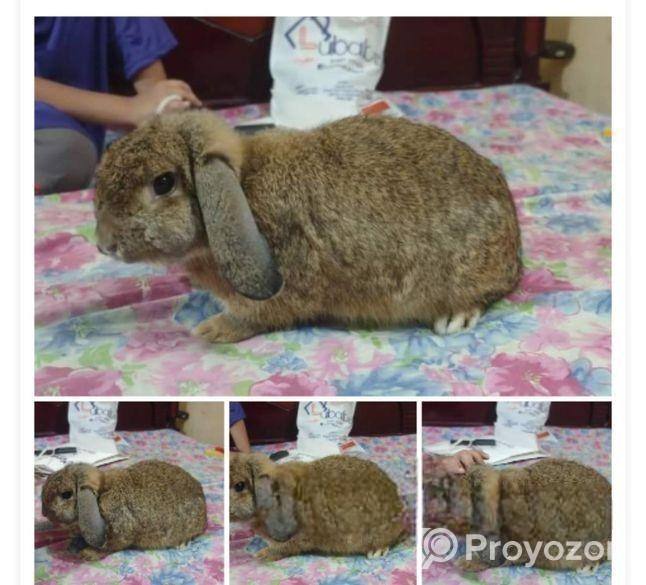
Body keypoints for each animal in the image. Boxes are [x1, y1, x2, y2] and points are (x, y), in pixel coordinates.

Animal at [41, 459, 207, 559]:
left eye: (66, 494)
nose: (44, 513)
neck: (101, 495)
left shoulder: (120, 532)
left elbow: (109, 547)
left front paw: (87, 554)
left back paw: (182, 543)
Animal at [94, 110, 522, 343]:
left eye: (163, 182)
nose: (104, 244)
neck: (243, 188)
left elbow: (255, 318)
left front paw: (212, 330)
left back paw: (454, 317)